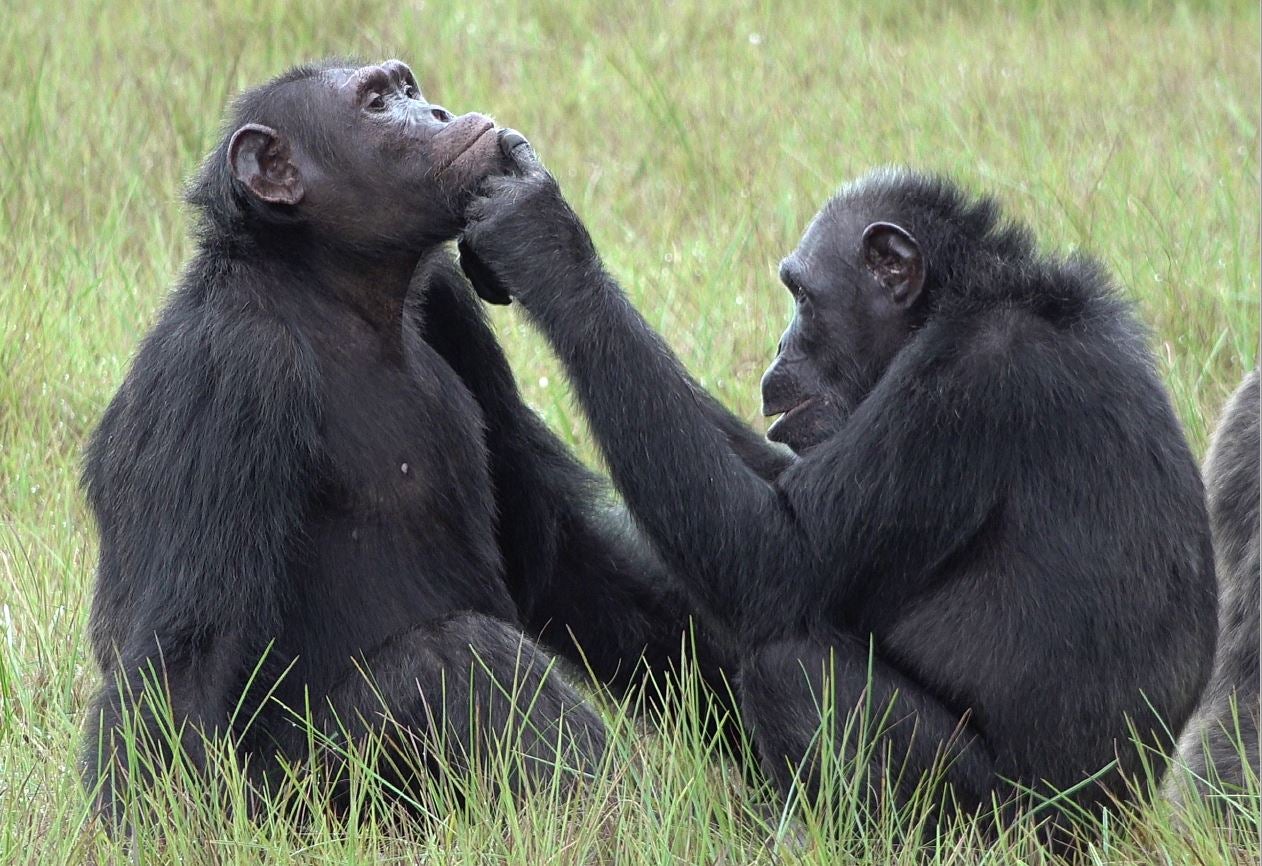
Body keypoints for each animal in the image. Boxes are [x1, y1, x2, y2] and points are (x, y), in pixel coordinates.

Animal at [81, 57, 731, 833]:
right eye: (376, 104)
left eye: (407, 88)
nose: (438, 112)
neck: (332, 290)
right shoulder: (228, 369)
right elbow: (187, 651)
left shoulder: (452, 304)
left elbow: (555, 550)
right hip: (306, 803)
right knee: (460, 658)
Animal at [461, 155, 1221, 833]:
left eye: (801, 294)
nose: (780, 345)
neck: (957, 302)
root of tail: (1122, 824)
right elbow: (776, 488)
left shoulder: (969, 386)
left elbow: (779, 558)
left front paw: (543, 242)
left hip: (997, 828)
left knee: (789, 667)